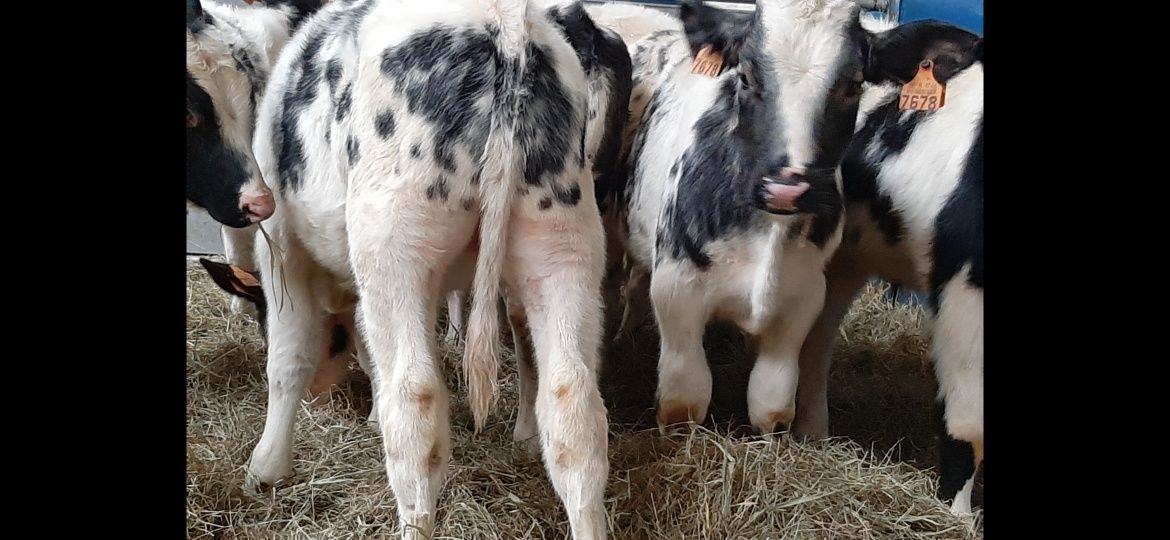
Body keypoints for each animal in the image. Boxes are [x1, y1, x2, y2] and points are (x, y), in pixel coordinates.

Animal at [252, 2, 617, 537]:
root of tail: (503, 23)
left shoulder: (280, 243)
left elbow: (286, 359)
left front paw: (266, 467)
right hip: (563, 242)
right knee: (573, 406)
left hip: (393, 246)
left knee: (415, 401)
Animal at [599, 0, 982, 439]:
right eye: (745, 76)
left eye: (853, 84)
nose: (786, 188)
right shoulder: (678, 292)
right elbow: (685, 402)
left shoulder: (802, 300)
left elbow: (771, 405)